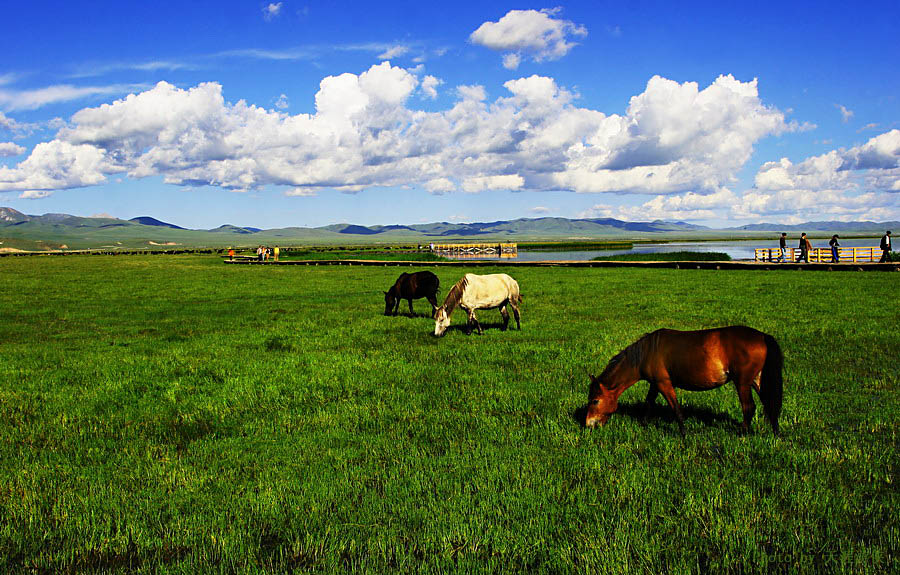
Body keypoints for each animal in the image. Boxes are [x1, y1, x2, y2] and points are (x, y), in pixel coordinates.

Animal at [588, 326, 784, 434]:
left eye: (595, 400)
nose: (589, 424)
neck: (647, 352)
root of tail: (762, 336)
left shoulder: (664, 383)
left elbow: (676, 408)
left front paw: (683, 433)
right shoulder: (655, 384)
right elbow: (649, 402)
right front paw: (644, 423)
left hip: (742, 382)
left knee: (749, 407)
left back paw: (742, 433)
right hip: (756, 380)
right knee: (769, 403)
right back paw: (776, 433)